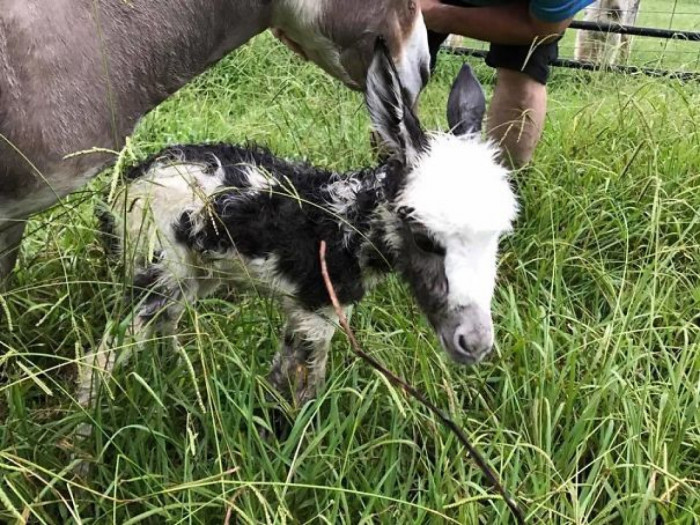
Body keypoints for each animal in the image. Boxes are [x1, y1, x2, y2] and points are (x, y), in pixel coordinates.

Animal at [85, 42, 516, 410]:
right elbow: (304, 392)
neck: (345, 226)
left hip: (193, 272)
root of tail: (131, 179)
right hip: (155, 263)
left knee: (165, 326)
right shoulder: (315, 311)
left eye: (497, 238)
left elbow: (286, 381)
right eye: (424, 238)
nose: (475, 342)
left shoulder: (307, 313)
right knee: (99, 357)